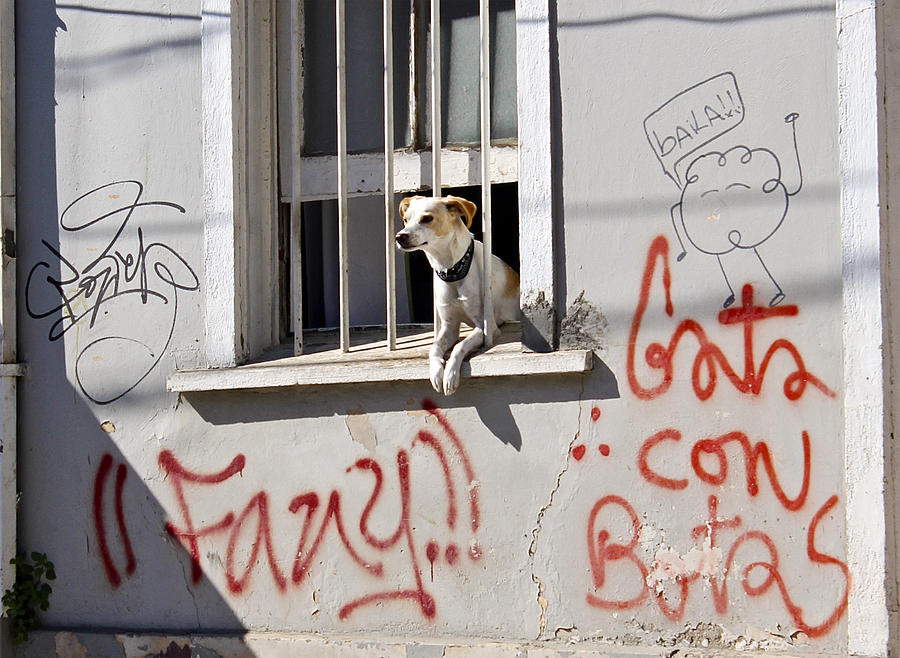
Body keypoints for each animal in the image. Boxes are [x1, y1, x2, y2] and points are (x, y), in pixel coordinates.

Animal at [396, 192, 516, 392]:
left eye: (427, 219)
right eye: (406, 219)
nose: (400, 237)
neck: (452, 270)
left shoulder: (486, 327)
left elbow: (460, 345)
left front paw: (450, 375)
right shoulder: (449, 326)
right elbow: (434, 348)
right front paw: (436, 372)